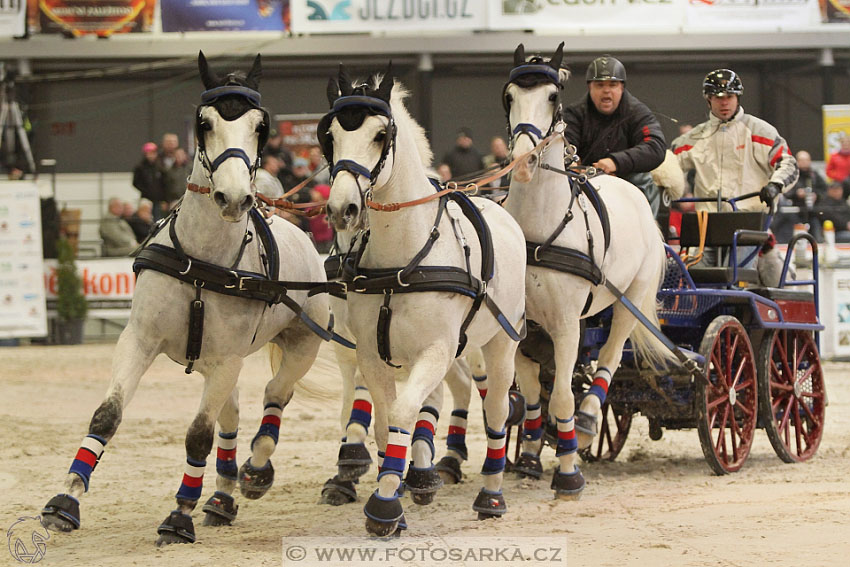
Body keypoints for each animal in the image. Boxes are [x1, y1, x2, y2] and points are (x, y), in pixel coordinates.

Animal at [42, 53, 332, 544]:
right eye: (204, 122)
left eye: (261, 126)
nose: (234, 198)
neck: (201, 259)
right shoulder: (139, 341)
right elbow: (107, 416)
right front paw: (65, 500)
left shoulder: (229, 358)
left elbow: (198, 435)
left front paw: (179, 515)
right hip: (223, 365)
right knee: (231, 418)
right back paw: (222, 497)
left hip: (297, 347)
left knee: (274, 396)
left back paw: (254, 472)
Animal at [322, 66, 528, 536]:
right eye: (331, 135)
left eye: (381, 135)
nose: (343, 209)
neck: (401, 259)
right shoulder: (371, 353)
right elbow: (384, 422)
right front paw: (395, 491)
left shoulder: (435, 349)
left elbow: (403, 412)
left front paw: (384, 508)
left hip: (500, 343)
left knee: (496, 410)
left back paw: (491, 495)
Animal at [504, 43, 668, 496]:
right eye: (509, 95)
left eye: (552, 96)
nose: (523, 161)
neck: (538, 230)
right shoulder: (522, 326)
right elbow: (531, 394)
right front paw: (529, 454)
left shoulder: (563, 325)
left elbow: (562, 396)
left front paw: (568, 471)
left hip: (631, 301)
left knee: (610, 357)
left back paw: (590, 419)